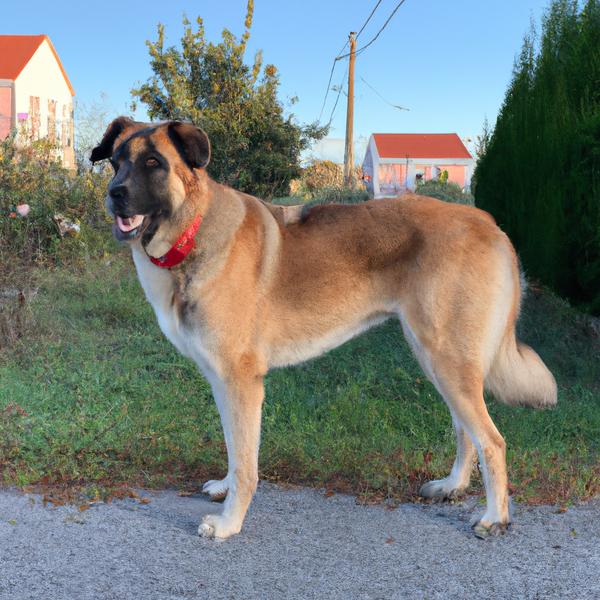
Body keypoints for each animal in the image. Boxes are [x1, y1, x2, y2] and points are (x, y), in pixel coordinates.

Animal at [90, 117, 556, 540]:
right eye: (116, 162)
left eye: (153, 162)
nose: (114, 196)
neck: (193, 230)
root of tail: (489, 223)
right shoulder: (221, 381)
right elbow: (234, 450)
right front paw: (224, 489)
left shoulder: (241, 382)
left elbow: (246, 463)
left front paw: (229, 523)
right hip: (437, 359)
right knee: (466, 430)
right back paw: (453, 486)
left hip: (446, 360)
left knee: (492, 441)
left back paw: (495, 516)